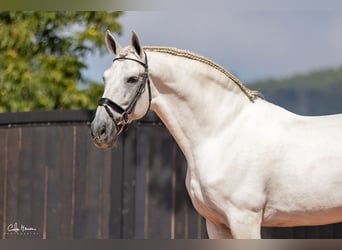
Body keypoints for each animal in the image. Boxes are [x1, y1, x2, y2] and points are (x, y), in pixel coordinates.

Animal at [90, 30, 342, 238]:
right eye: (105, 77)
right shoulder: (216, 223)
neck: (223, 132)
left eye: (132, 79)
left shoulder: (244, 219)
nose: (99, 130)